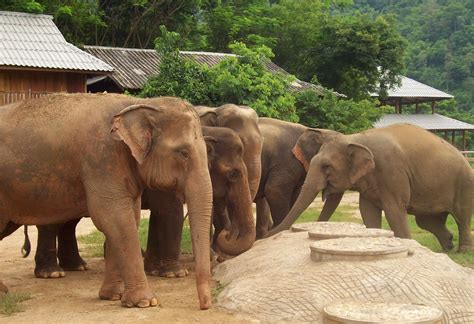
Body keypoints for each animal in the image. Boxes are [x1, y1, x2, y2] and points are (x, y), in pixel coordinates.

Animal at [0, 93, 213, 308]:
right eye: (183, 153)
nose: (205, 306)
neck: (139, 104)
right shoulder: (102, 158)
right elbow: (115, 218)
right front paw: (146, 302)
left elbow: (128, 218)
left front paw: (113, 296)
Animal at [268, 123, 472, 252]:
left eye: (327, 167)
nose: (266, 234)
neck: (355, 138)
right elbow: (367, 210)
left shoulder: (392, 171)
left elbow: (394, 210)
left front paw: (407, 243)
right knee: (427, 220)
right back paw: (448, 245)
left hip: (464, 183)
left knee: (462, 216)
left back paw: (462, 250)